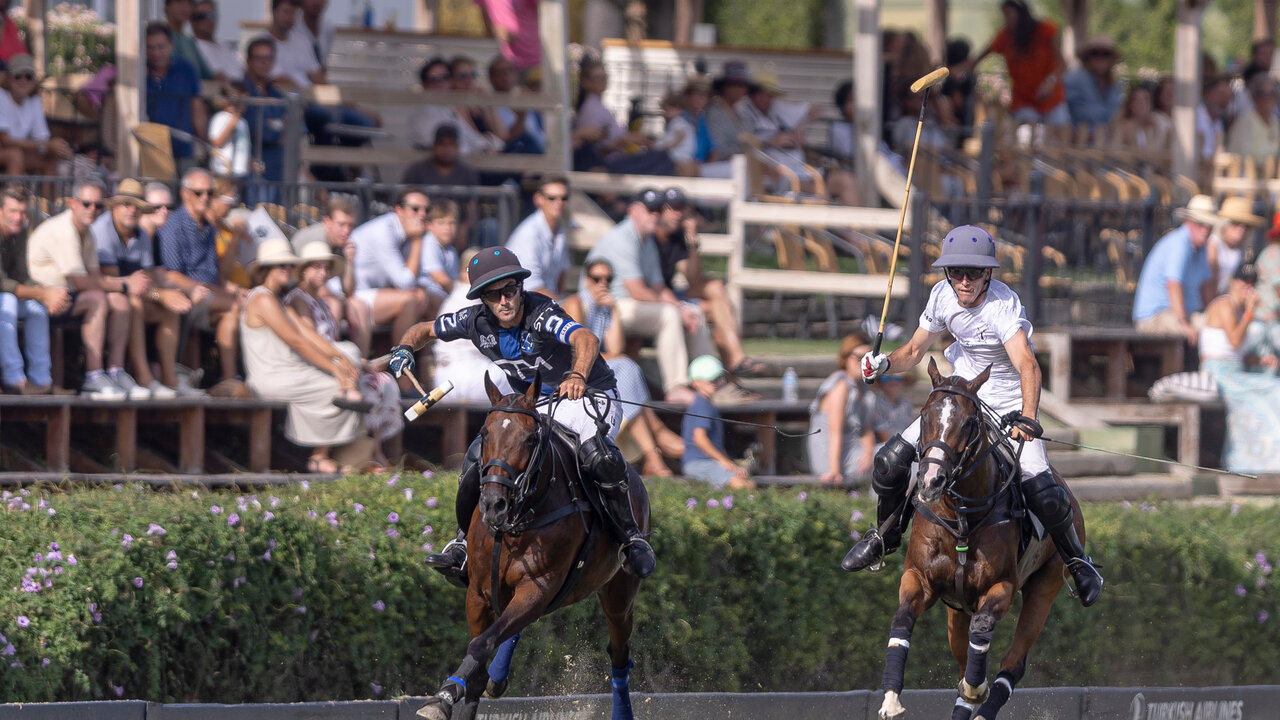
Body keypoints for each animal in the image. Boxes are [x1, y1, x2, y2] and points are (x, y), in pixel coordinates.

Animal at [414, 371, 645, 717]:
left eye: (530, 439)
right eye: (484, 432)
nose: (493, 504)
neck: (516, 522)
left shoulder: (538, 586)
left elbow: (481, 644)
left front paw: (444, 695)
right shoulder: (479, 593)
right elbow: (479, 661)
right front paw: (450, 694)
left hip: (619, 593)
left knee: (620, 656)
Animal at [875, 358, 1075, 717]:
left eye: (969, 422)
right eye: (924, 415)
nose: (931, 481)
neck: (962, 517)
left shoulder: (1001, 587)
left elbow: (981, 632)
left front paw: (976, 687)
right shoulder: (919, 577)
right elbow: (902, 619)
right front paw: (891, 698)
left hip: (1046, 585)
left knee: (1012, 663)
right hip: (956, 609)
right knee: (960, 657)